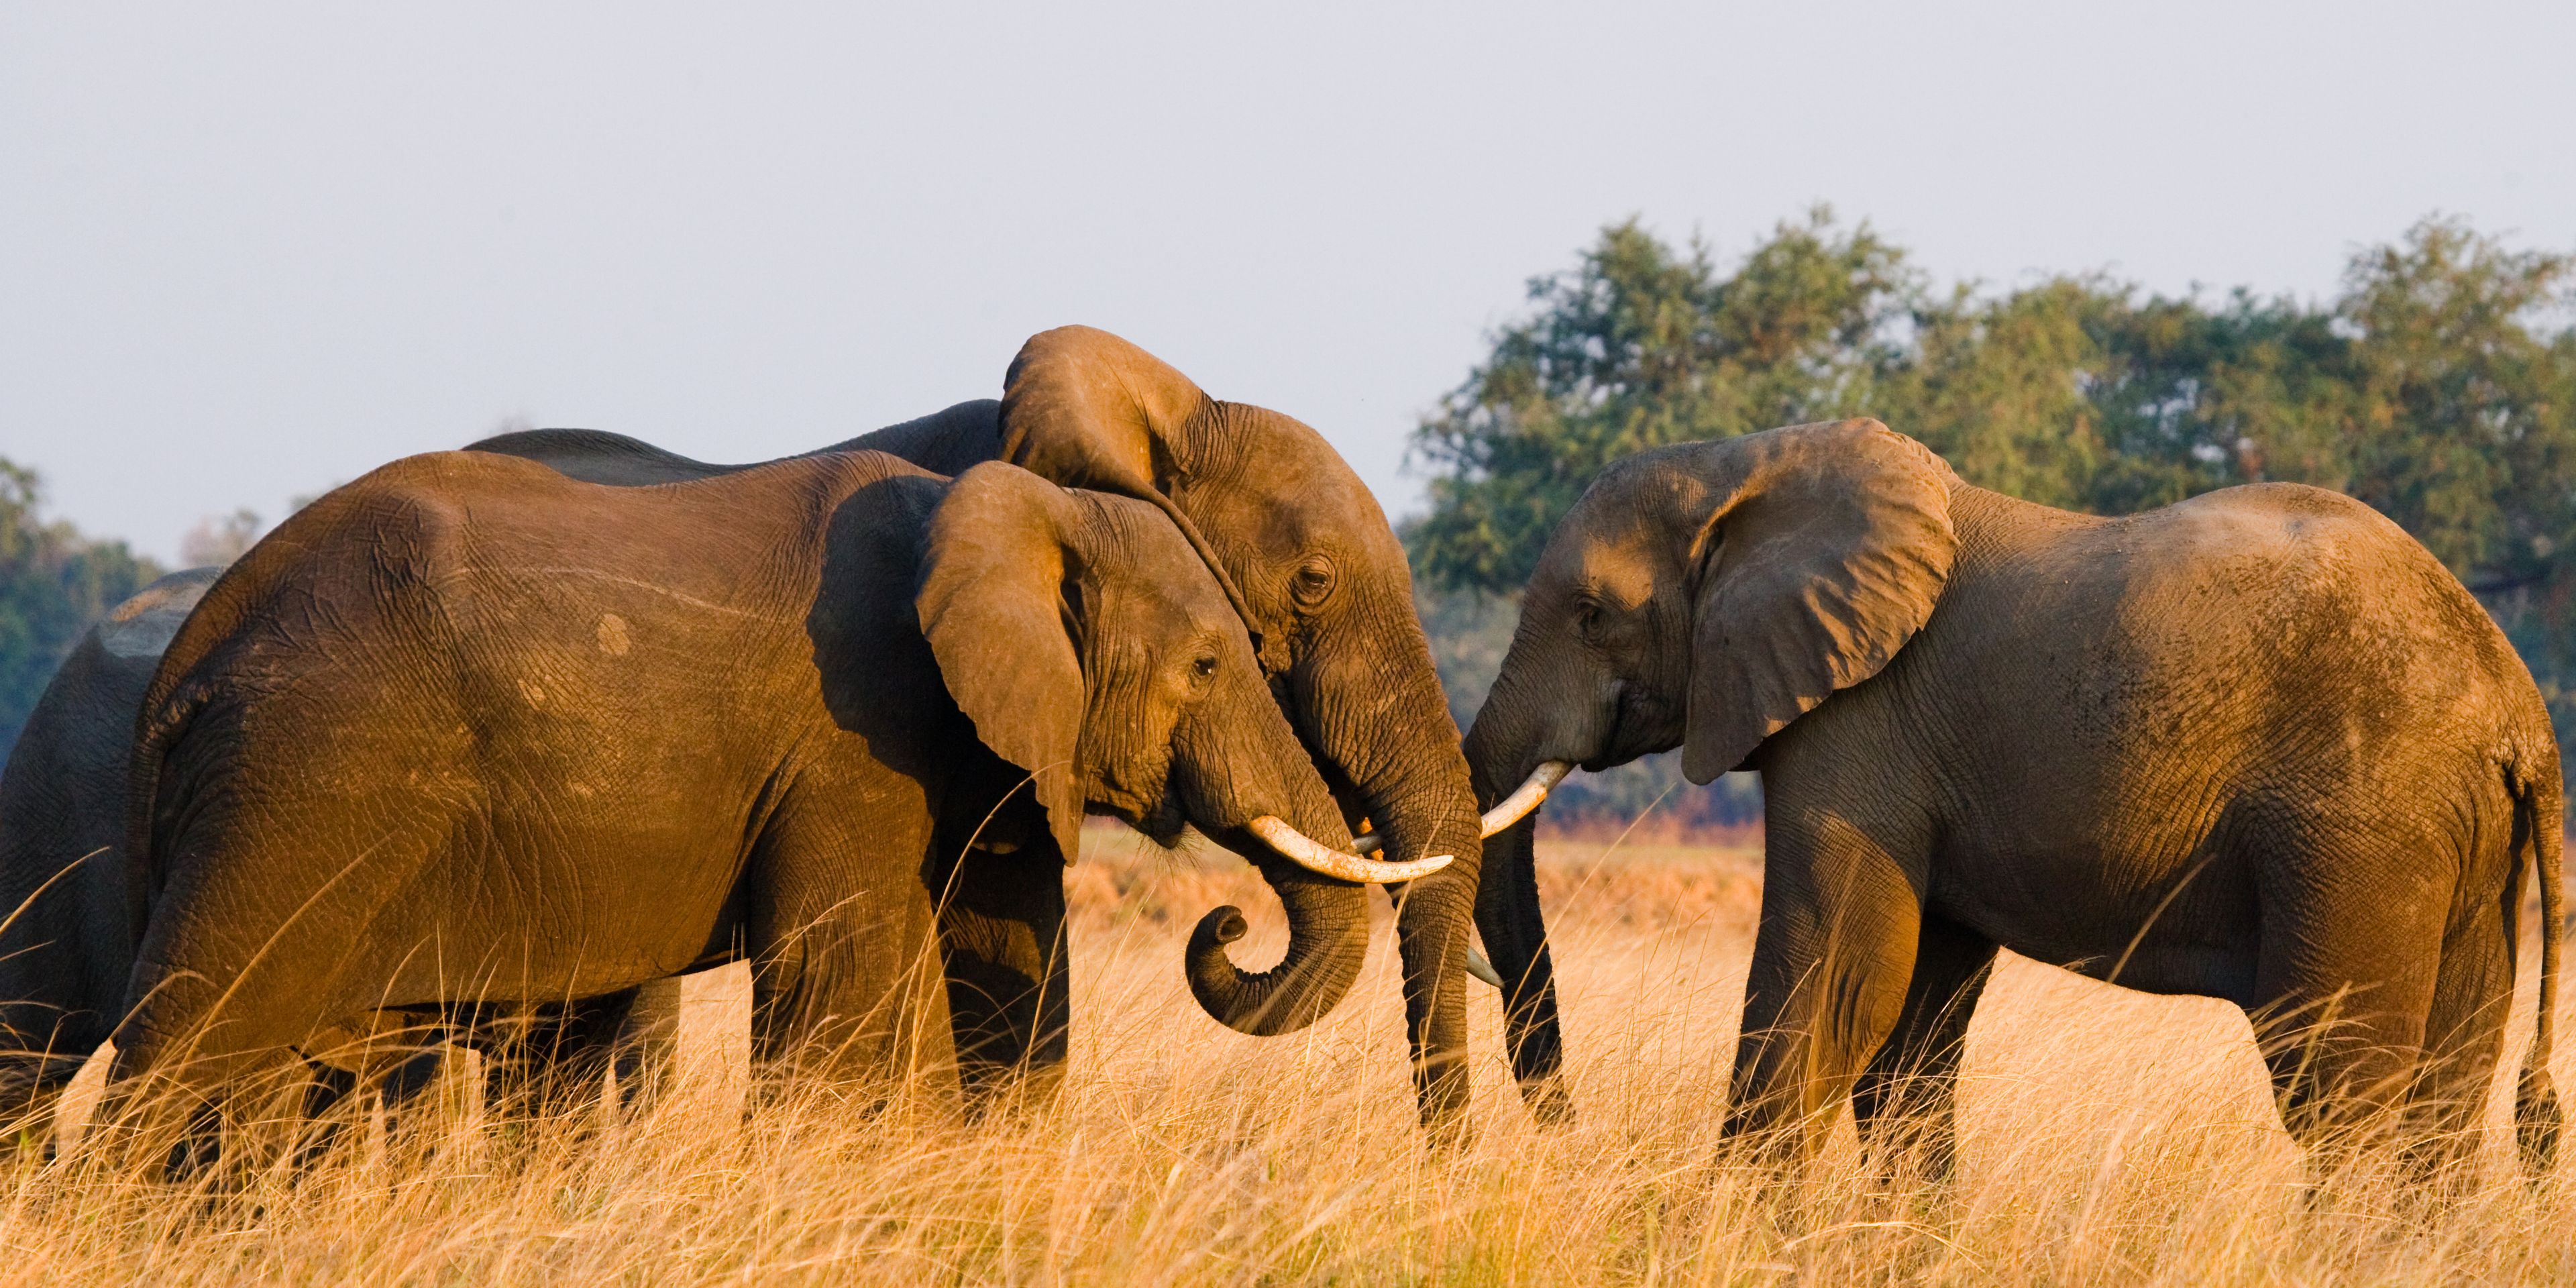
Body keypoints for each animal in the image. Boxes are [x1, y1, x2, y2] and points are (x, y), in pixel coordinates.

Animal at [108, 450, 1444, 1141]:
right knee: (186, 1053)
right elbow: (841, 995)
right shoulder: (855, 739)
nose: (1223, 924)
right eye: (1210, 666)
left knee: (263, 1080)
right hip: (304, 781)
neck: (1019, 509)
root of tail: (187, 661)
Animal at [1461, 417, 2563, 1175]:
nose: (1570, 1135)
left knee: (2337, 1094)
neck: (1752, 461)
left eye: (1591, 614)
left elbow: (1834, 989)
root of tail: (2522, 713)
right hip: (2457, 848)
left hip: (2359, 834)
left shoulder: (1859, 728)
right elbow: (1906, 1034)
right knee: (2446, 1096)